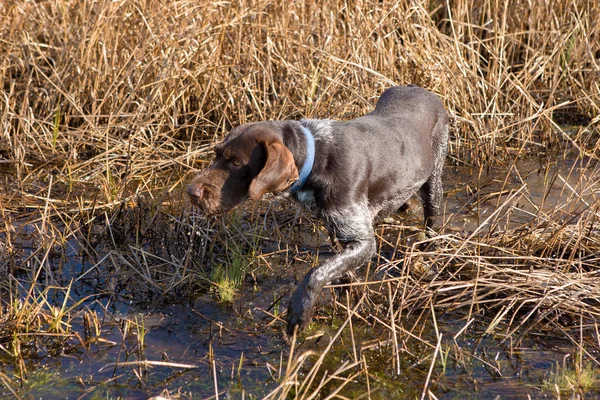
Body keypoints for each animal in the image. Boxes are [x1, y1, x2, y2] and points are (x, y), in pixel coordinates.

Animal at [189, 86, 450, 336]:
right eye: (216, 154)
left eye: (236, 162)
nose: (191, 191)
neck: (316, 160)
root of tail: (422, 90)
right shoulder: (335, 225)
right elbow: (338, 267)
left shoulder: (362, 241)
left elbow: (316, 273)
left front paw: (300, 310)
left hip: (434, 181)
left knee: (431, 218)